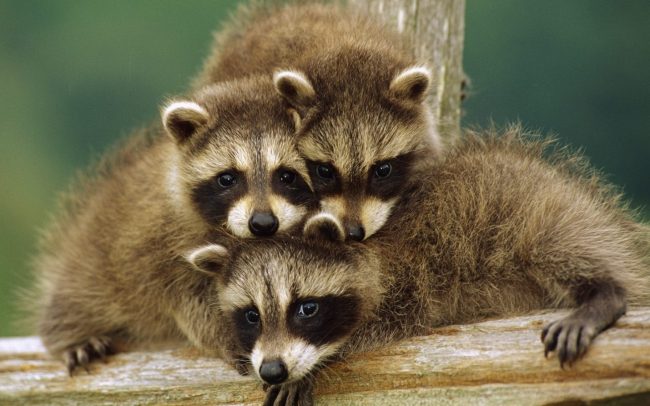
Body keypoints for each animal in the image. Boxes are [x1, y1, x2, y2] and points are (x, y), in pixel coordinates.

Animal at [32, 76, 316, 372]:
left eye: (287, 175)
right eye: (227, 178)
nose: (262, 223)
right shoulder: (161, 246)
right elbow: (190, 302)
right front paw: (232, 334)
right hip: (91, 267)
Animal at [188, 127, 649, 405]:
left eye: (306, 308)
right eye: (251, 315)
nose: (272, 369)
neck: (367, 249)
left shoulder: (411, 278)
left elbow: (374, 328)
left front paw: (313, 365)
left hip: (544, 211)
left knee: (562, 246)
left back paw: (605, 293)